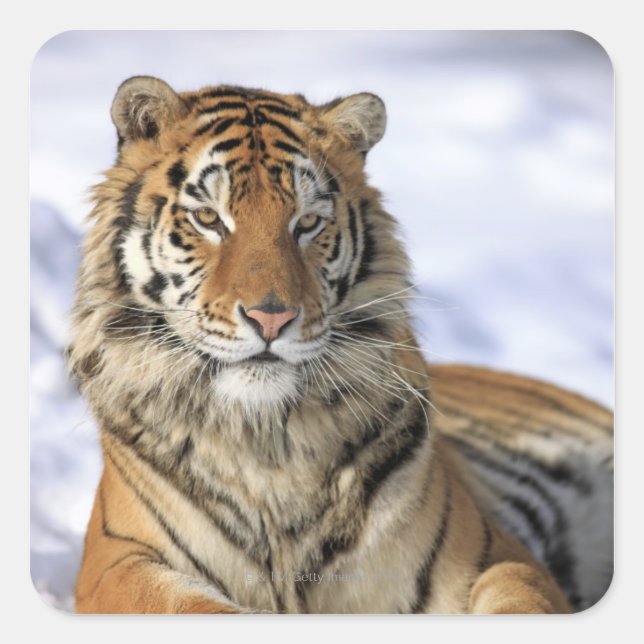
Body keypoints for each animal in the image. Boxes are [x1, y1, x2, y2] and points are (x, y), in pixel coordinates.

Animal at [67, 76, 613, 614]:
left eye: (307, 223)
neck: (269, 443)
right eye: (208, 218)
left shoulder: (493, 553)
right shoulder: (117, 564)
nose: (271, 317)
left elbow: (519, 599)